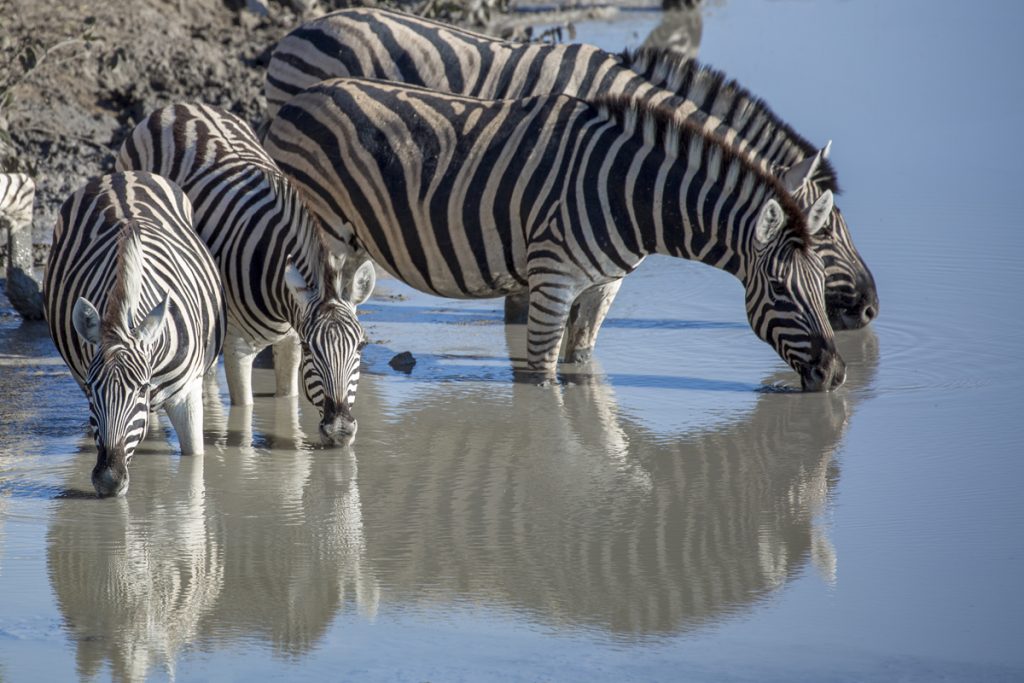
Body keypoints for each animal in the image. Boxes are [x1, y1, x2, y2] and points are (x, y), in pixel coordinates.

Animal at [43, 171, 225, 497]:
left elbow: (194, 462)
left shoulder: (187, 395)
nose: (108, 480)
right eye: (92, 389)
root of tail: (121, 175)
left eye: (141, 387)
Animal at [116, 100, 378, 444]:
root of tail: (179, 105)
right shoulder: (239, 347)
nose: (340, 431)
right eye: (312, 348)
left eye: (360, 346)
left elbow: (287, 401)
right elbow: (244, 412)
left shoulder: (289, 341)